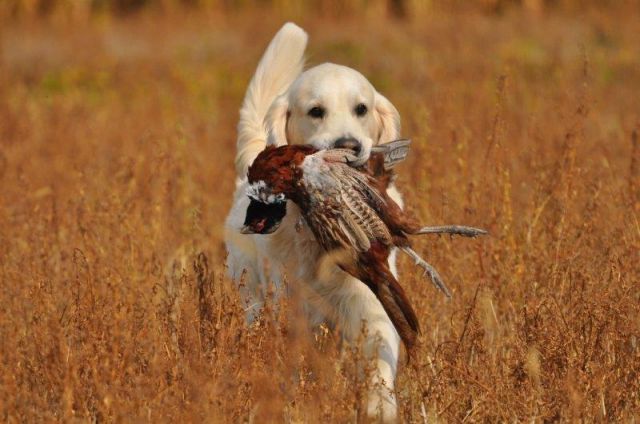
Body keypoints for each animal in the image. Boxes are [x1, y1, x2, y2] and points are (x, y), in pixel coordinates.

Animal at [225, 22, 402, 420]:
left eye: (361, 108)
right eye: (316, 110)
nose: (349, 146)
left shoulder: (371, 299)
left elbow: (378, 352)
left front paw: (378, 406)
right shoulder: (296, 313)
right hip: (253, 295)